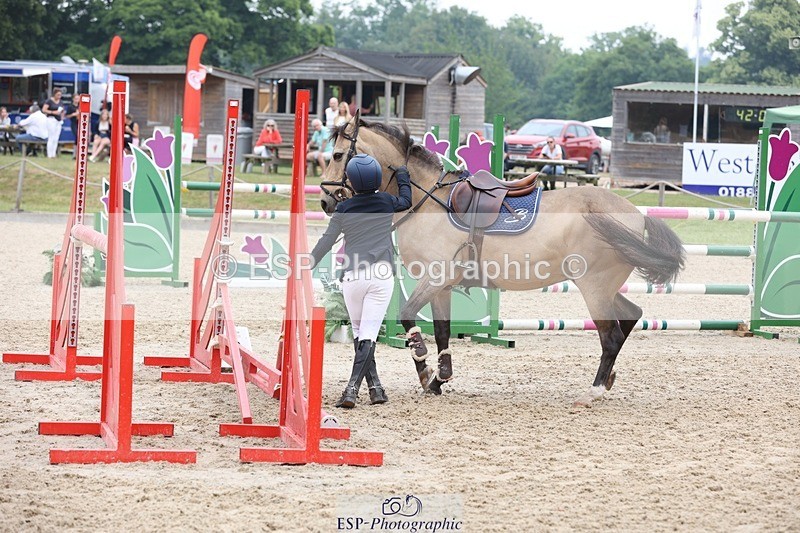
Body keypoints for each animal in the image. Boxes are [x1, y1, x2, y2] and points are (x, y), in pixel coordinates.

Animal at [318, 116, 685, 407]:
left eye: (337, 155)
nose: (325, 200)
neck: (428, 200)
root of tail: (636, 215)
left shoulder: (436, 278)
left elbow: (408, 316)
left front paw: (424, 367)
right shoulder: (442, 286)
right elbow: (442, 332)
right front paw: (438, 379)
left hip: (593, 288)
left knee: (610, 336)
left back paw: (592, 391)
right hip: (606, 288)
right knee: (631, 316)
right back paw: (607, 380)